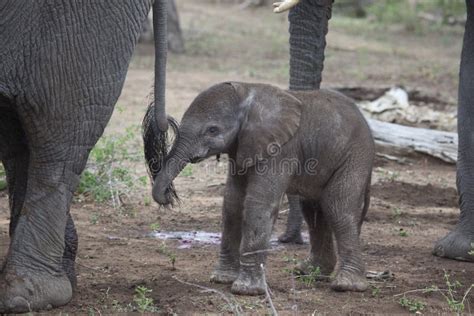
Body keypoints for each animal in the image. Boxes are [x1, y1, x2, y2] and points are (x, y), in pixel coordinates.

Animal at [147, 82, 374, 296]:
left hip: (354, 156)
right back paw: (309, 272)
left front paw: (246, 290)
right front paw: (221, 279)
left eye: (212, 130)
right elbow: (232, 202)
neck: (246, 91)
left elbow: (258, 203)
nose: (169, 197)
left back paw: (347, 285)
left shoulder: (280, 149)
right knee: (314, 210)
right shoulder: (241, 146)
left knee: (338, 207)